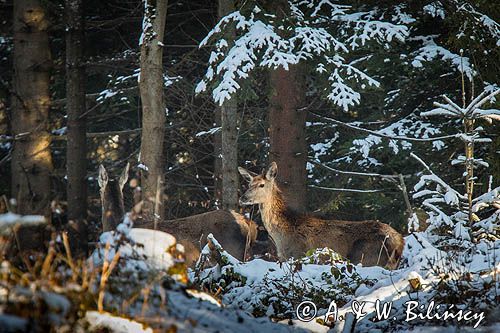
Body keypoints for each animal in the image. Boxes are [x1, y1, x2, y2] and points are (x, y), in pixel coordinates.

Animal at [236, 161, 404, 268]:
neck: (281, 234)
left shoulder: (297, 253)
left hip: (366, 257)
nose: (242, 198)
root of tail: (399, 243)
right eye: (249, 184)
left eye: (261, 184)